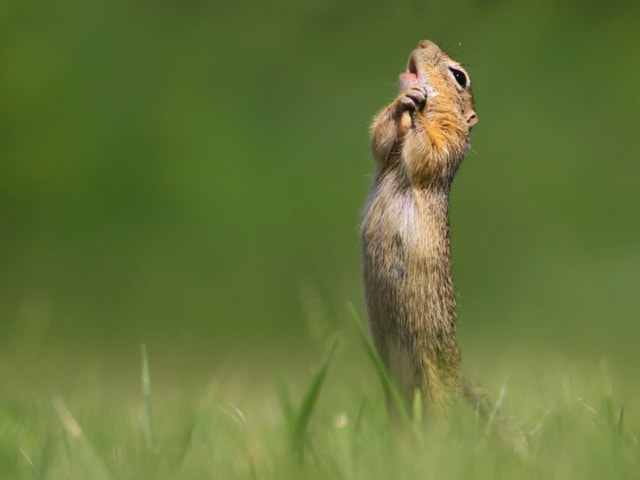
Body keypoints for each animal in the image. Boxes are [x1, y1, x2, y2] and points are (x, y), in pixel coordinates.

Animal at [362, 40, 478, 416]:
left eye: (460, 76)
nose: (423, 43)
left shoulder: (448, 141)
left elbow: (427, 151)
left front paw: (415, 105)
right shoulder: (386, 152)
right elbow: (381, 139)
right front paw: (403, 101)